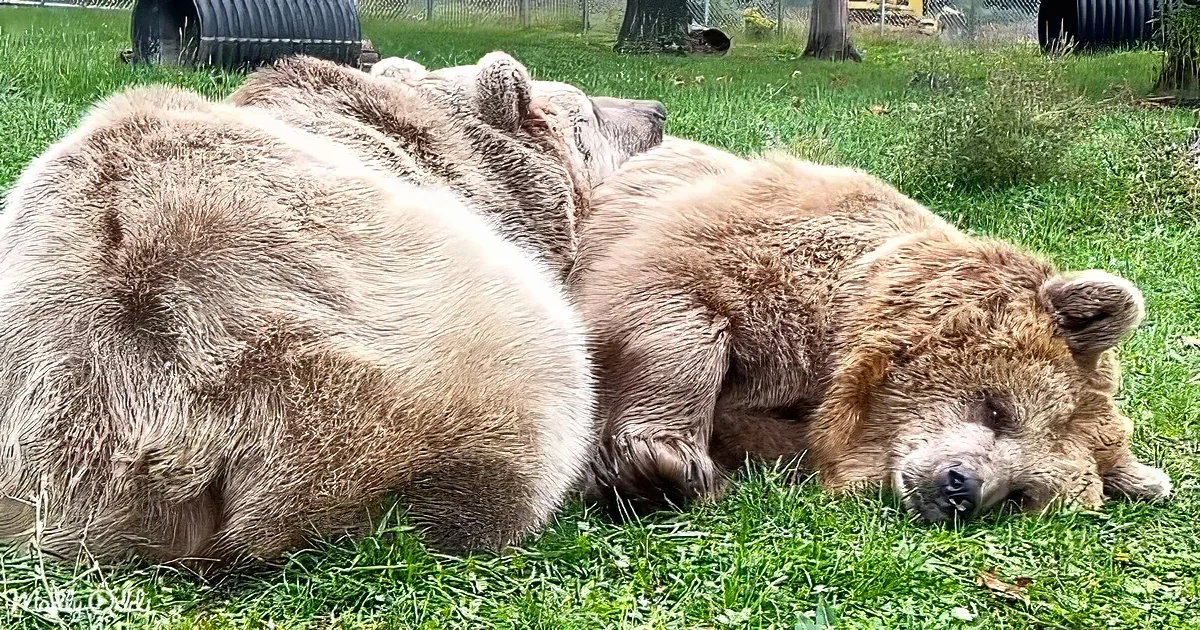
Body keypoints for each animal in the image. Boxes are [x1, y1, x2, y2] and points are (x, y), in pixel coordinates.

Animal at [571, 137, 1173, 522]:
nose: (961, 487)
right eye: (998, 410)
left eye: (1021, 494)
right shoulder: (758, 256)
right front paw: (660, 462)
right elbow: (672, 307)